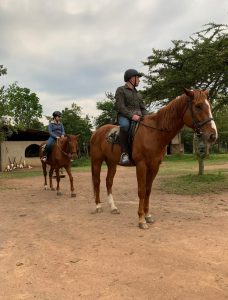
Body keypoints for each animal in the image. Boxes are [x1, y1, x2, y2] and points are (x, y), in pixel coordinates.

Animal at [90, 89, 218, 230]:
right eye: (198, 106)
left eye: (209, 106)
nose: (213, 135)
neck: (154, 133)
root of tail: (96, 132)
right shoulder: (141, 165)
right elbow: (141, 191)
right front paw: (141, 220)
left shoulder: (154, 166)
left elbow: (148, 190)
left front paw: (147, 216)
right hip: (96, 161)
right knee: (97, 181)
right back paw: (98, 206)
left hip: (112, 163)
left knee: (109, 182)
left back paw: (113, 207)